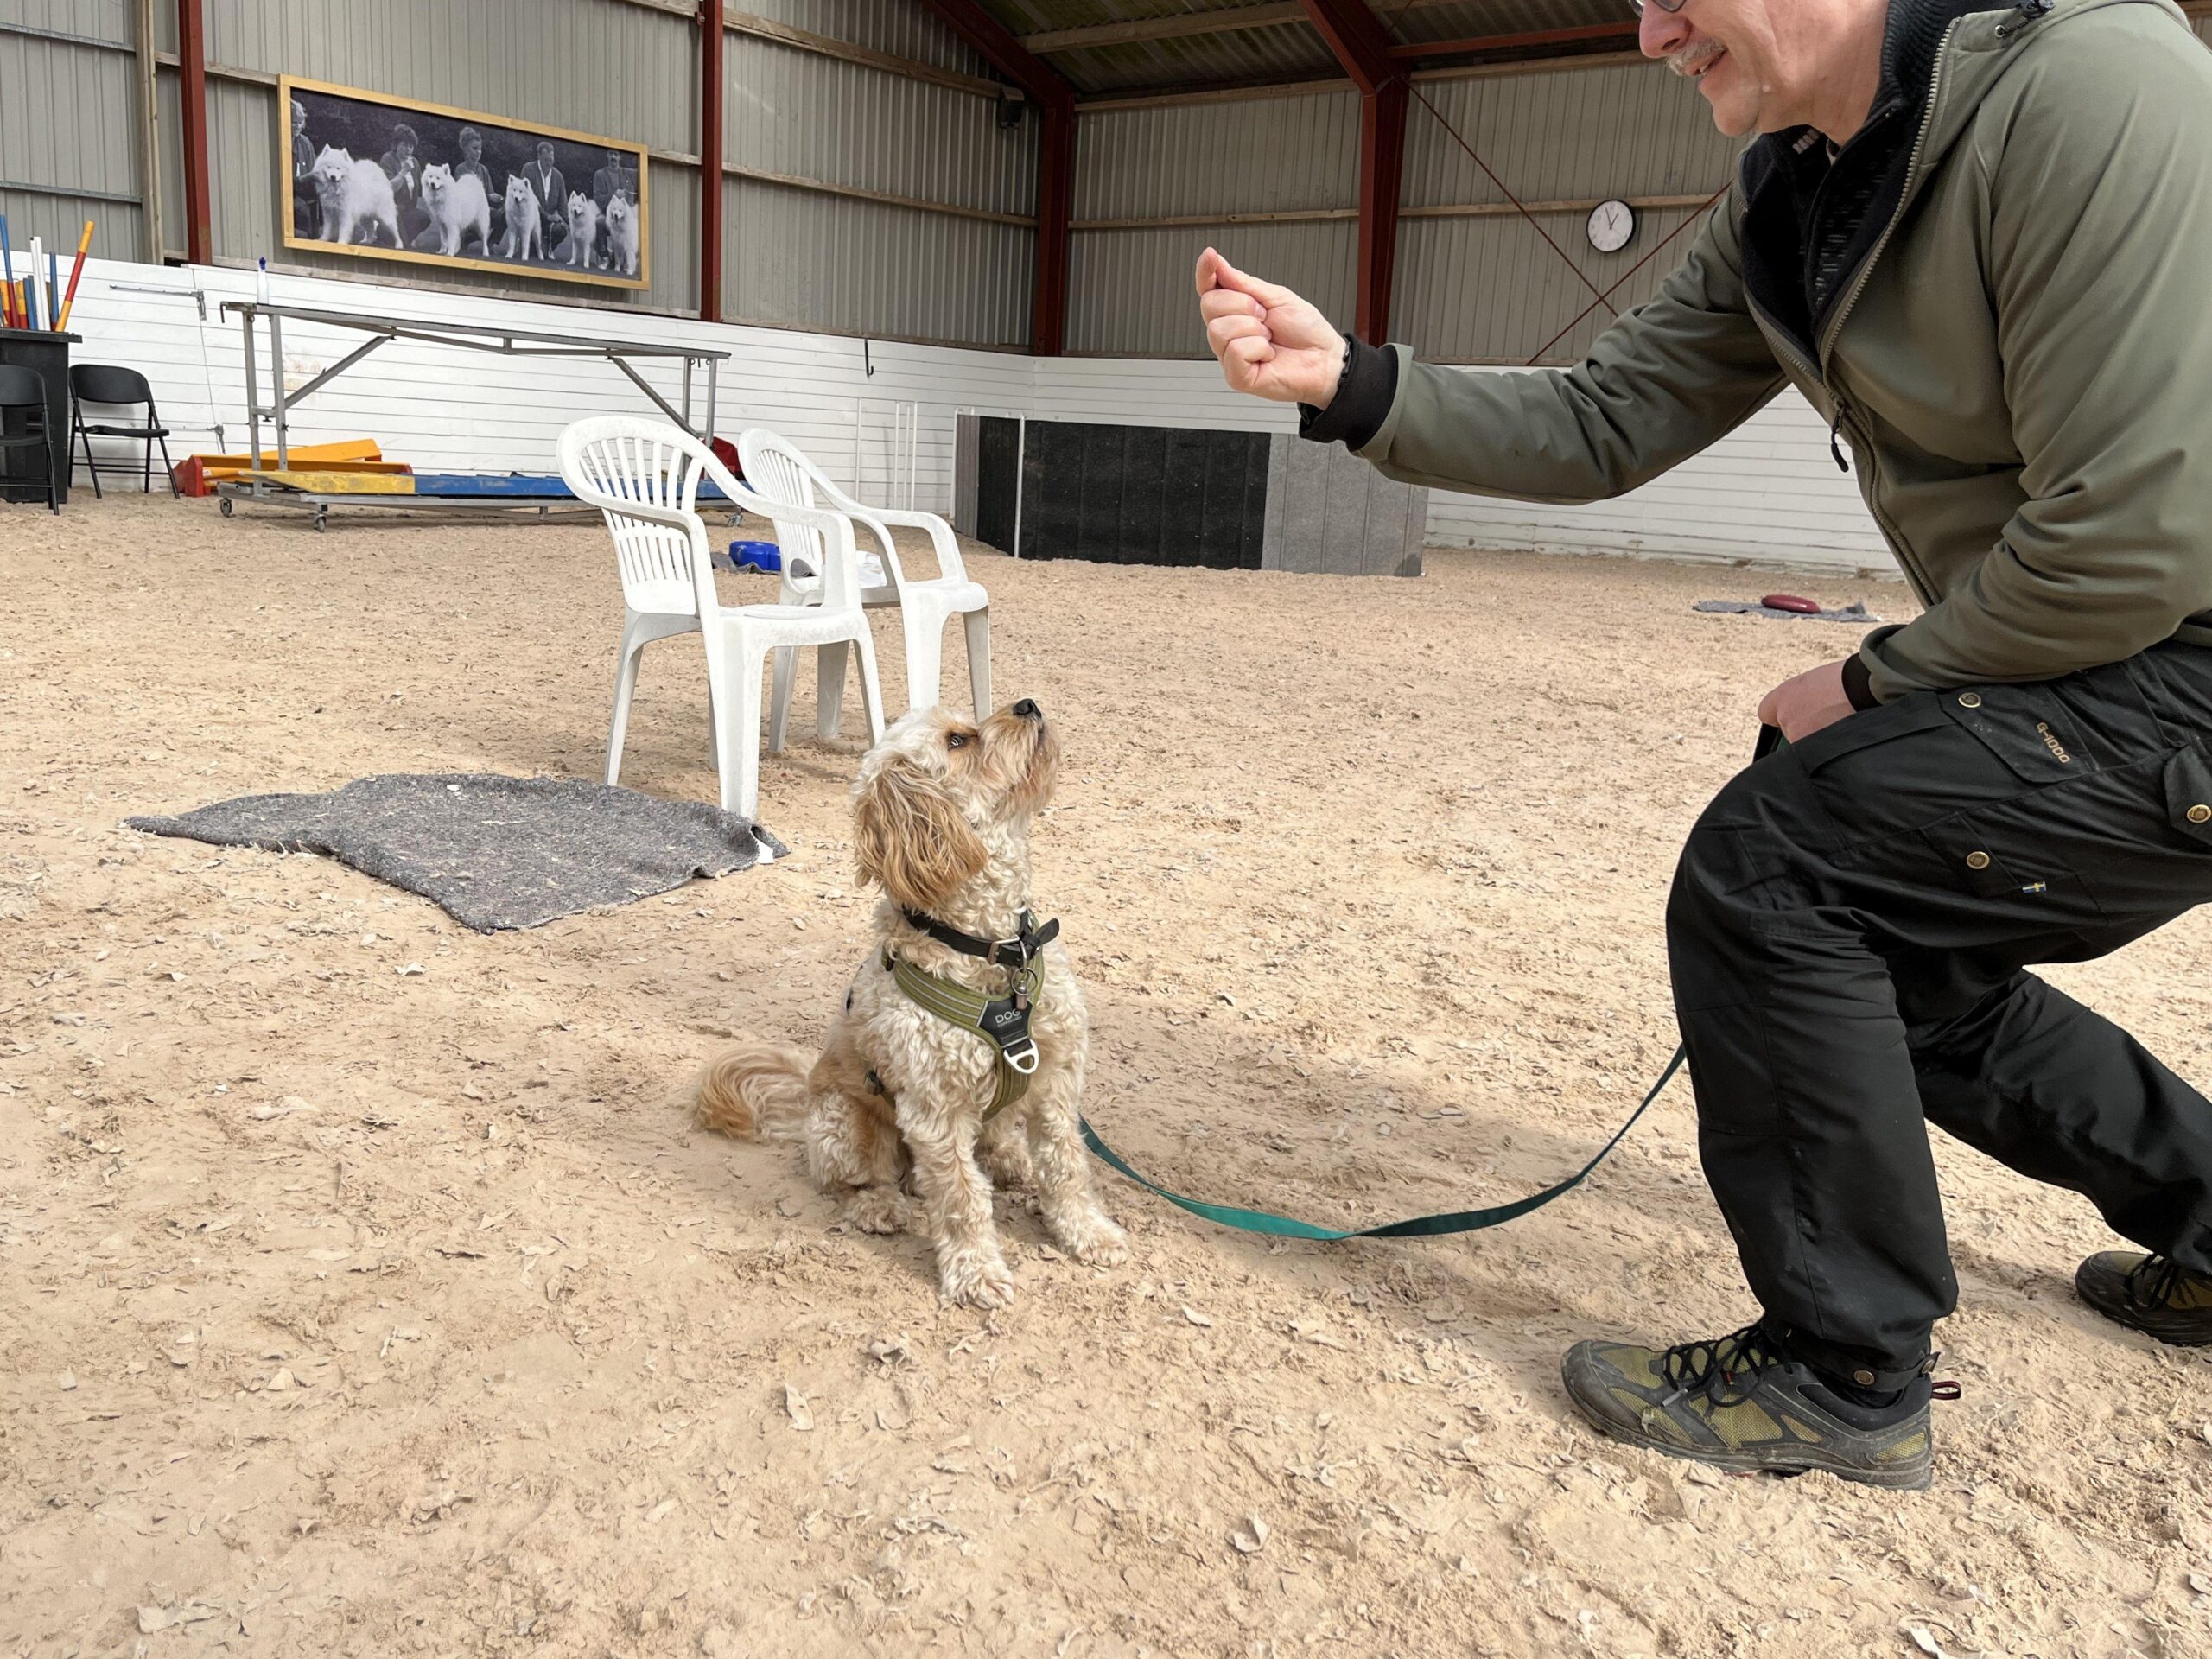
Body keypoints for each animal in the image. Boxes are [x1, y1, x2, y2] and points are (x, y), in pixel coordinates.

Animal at [694, 694, 1123, 1309]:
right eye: (957, 741)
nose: (1028, 704)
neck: (992, 951)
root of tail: (805, 1092)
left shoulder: (1056, 1080)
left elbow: (1066, 1166)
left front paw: (1087, 1233)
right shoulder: (934, 1111)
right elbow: (962, 1197)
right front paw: (976, 1271)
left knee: (995, 1137)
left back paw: (1008, 1157)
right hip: (845, 1128)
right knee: (853, 1179)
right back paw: (879, 1204)